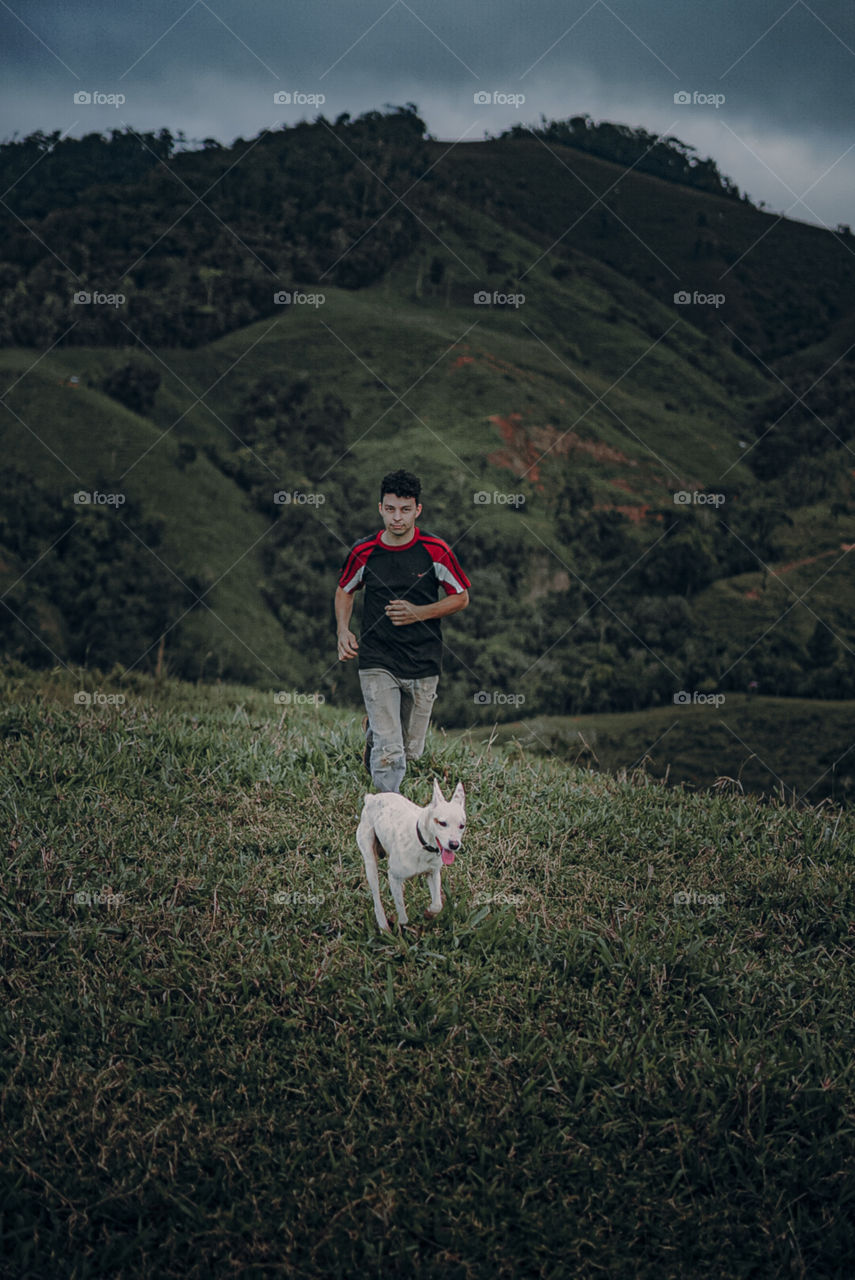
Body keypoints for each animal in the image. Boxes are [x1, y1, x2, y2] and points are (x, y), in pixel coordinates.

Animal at [360, 778, 468, 931]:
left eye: (461, 826)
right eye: (442, 823)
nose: (454, 844)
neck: (422, 844)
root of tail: (371, 798)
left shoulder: (433, 874)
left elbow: (437, 905)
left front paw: (429, 913)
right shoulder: (394, 877)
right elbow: (402, 913)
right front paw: (402, 926)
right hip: (370, 862)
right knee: (376, 896)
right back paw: (383, 925)